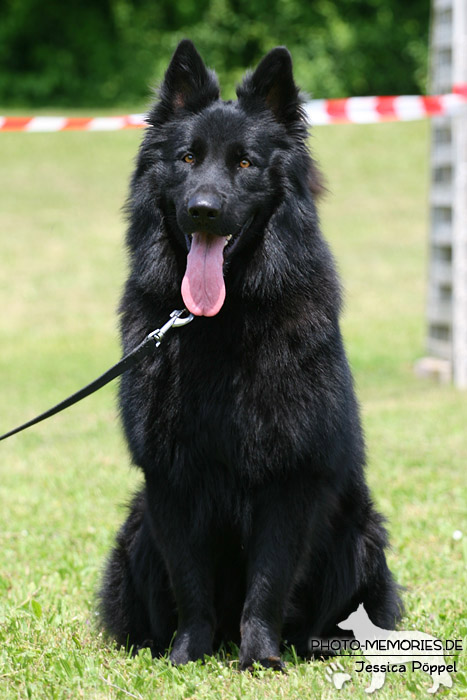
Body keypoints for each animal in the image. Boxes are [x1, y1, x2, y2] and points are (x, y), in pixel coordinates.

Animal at [100, 39, 404, 672]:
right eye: (188, 158)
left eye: (244, 164)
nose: (203, 209)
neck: (222, 324)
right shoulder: (170, 483)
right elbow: (191, 586)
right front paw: (186, 657)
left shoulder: (289, 481)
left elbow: (268, 580)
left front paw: (260, 659)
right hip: (137, 526)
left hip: (360, 531)